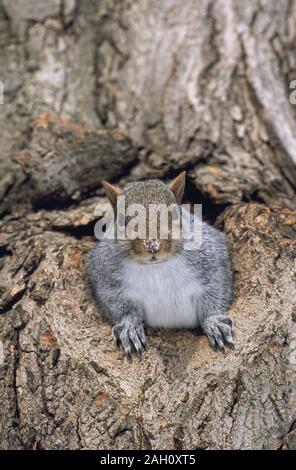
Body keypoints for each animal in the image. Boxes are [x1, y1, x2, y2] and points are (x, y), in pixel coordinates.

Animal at [85, 173, 234, 356]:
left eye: (175, 214)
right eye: (122, 220)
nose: (152, 245)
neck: (156, 267)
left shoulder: (212, 260)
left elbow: (216, 290)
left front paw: (214, 322)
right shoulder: (105, 274)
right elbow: (117, 304)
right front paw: (129, 326)